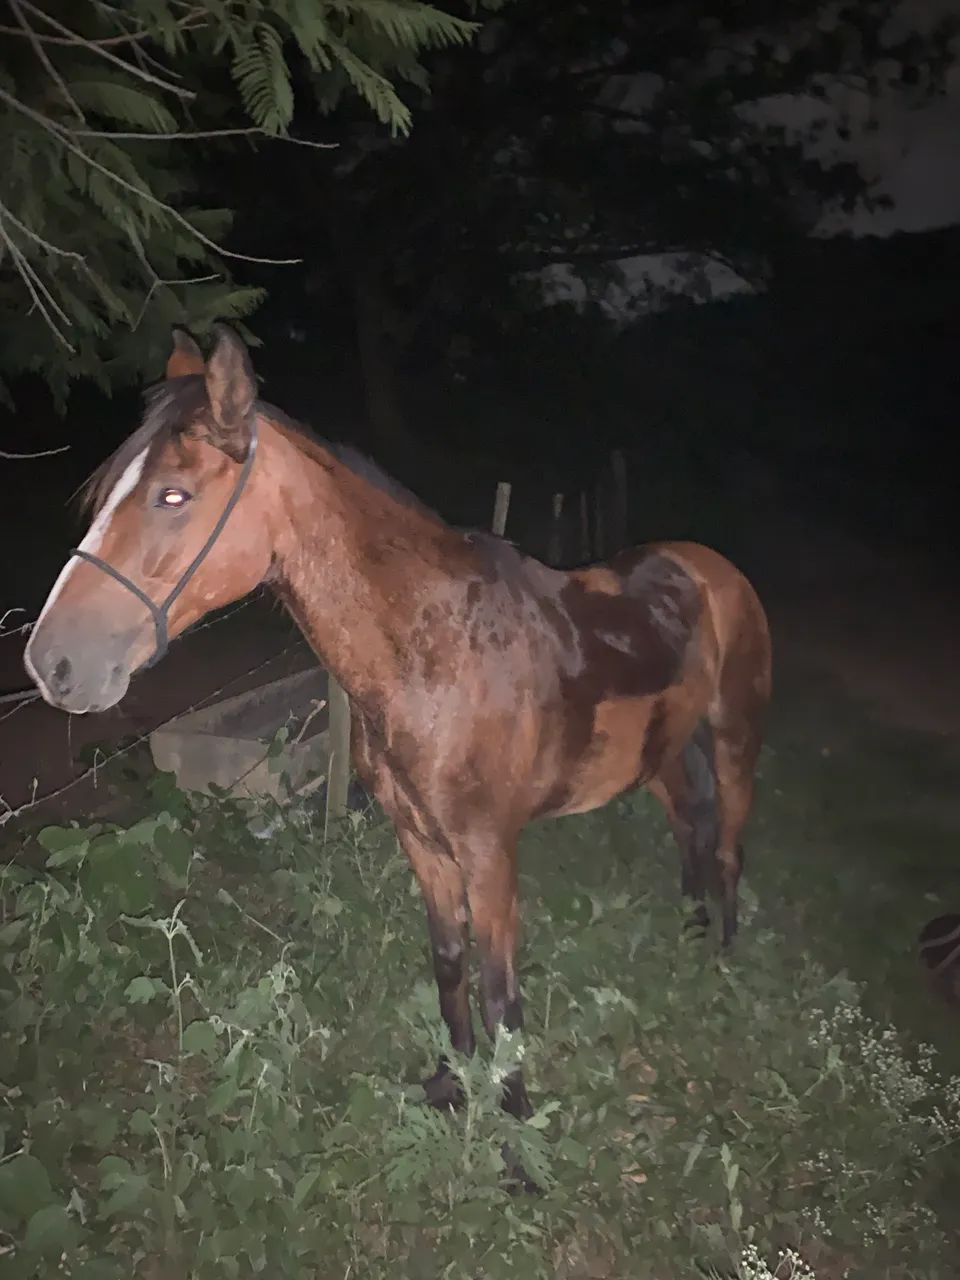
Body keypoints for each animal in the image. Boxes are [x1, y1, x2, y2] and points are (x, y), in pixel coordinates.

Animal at [25, 324, 772, 1125]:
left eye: (174, 494)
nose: (50, 662)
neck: (438, 650)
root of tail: (710, 568)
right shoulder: (420, 838)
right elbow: (448, 963)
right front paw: (452, 1081)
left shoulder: (489, 850)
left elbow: (501, 987)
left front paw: (513, 1120)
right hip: (661, 751)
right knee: (690, 822)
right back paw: (692, 930)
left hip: (735, 738)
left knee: (728, 841)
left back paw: (725, 952)